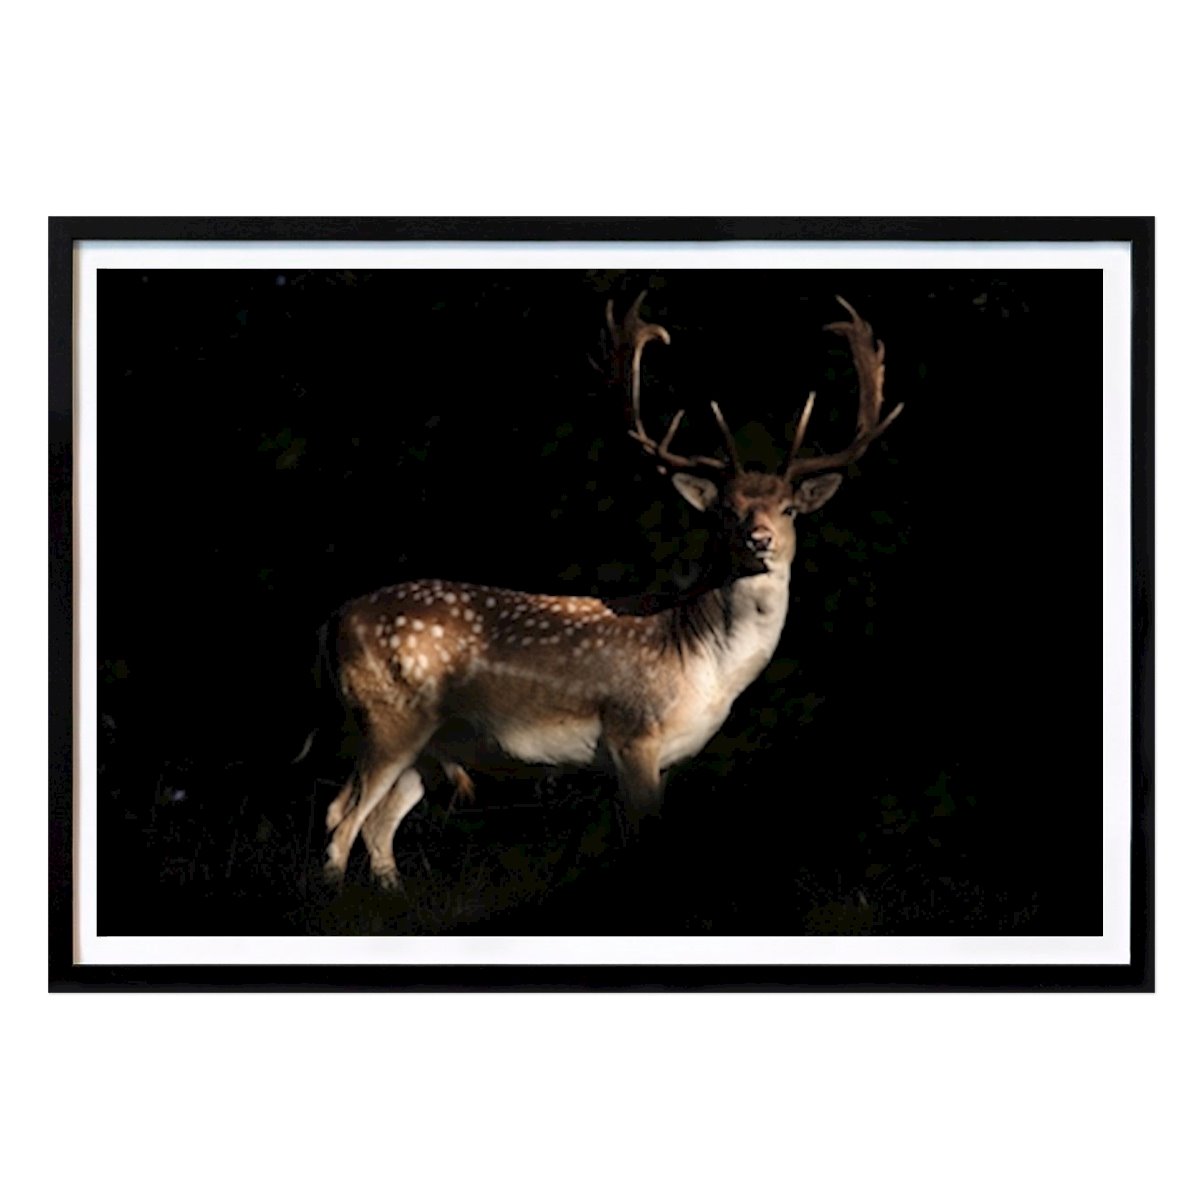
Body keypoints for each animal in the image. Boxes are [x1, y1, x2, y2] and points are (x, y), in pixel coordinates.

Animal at [319, 294, 902, 889]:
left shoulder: (668, 758)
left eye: (788, 509)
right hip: (386, 716)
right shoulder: (633, 734)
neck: (702, 665)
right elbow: (640, 842)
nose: (758, 539)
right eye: (725, 510)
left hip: (432, 744)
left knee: (378, 826)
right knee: (341, 814)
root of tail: (335, 618)